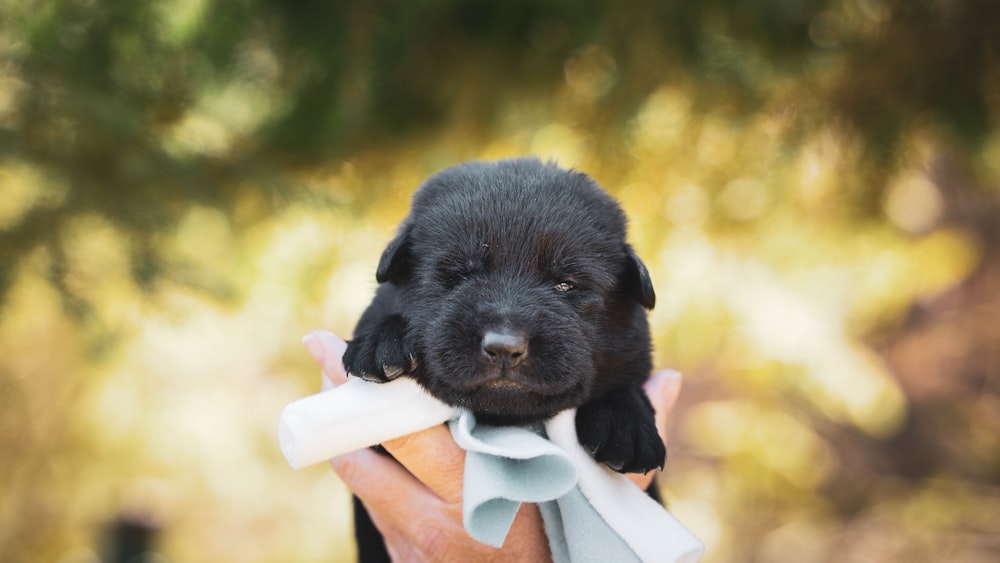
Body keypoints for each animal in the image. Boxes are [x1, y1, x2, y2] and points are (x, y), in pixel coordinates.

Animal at [344, 155, 664, 560]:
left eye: (565, 283)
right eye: (458, 275)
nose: (504, 348)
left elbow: (625, 381)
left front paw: (626, 424)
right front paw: (381, 342)